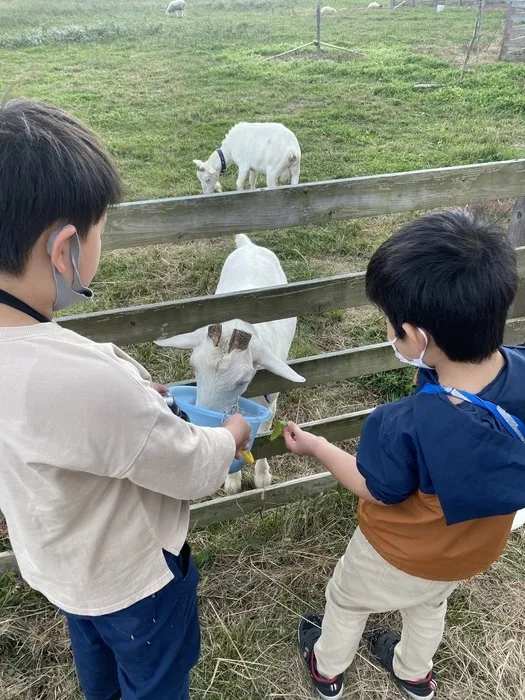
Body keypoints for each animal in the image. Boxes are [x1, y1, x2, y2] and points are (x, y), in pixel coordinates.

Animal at [156, 234, 302, 492]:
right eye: (194, 366)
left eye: (242, 380)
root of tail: (250, 246)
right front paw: (232, 481)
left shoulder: (271, 398)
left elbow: (265, 432)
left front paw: (262, 477)